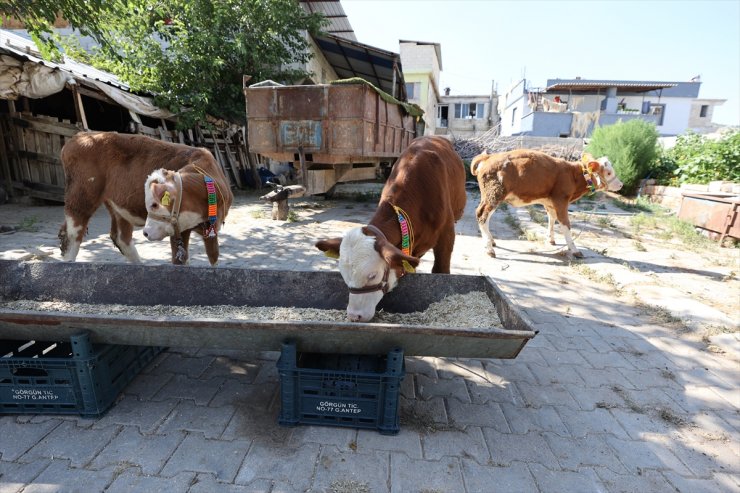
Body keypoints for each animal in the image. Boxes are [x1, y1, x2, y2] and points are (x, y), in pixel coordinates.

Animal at [58, 129, 231, 264]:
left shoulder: (211, 230)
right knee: (72, 234)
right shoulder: (179, 231)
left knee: (121, 236)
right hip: (81, 196)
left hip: (116, 204)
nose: (146, 233)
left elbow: (214, 257)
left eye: (155, 204)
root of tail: (81, 136)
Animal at [472, 148, 620, 258]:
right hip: (494, 195)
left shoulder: (549, 202)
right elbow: (565, 224)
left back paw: (491, 241)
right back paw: (489, 249)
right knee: (482, 215)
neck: (574, 175)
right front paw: (574, 250)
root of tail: (488, 157)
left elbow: (551, 218)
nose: (621, 185)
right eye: (608, 172)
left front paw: (551, 239)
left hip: (492, 196)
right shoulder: (561, 200)